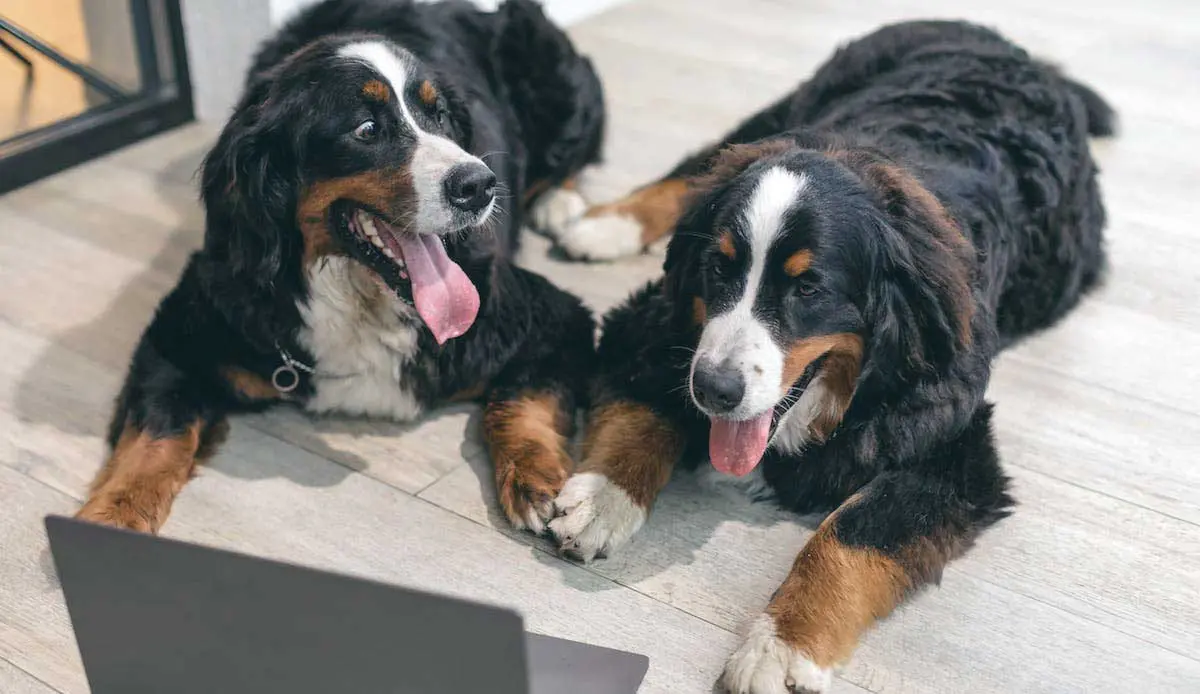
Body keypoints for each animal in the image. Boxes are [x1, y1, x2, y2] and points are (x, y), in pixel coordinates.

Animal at [77, 0, 609, 533]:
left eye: (439, 115)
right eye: (367, 129)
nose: (481, 185)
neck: (360, 298)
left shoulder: (551, 316)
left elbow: (520, 401)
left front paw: (535, 477)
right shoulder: (178, 336)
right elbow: (153, 438)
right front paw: (113, 515)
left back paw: (561, 205)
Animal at [540, 18, 1108, 686]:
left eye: (808, 289)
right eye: (717, 267)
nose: (714, 390)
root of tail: (1008, 46)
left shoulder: (955, 452)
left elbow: (852, 534)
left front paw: (782, 647)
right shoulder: (651, 325)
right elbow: (643, 412)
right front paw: (604, 498)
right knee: (695, 170)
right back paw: (603, 224)